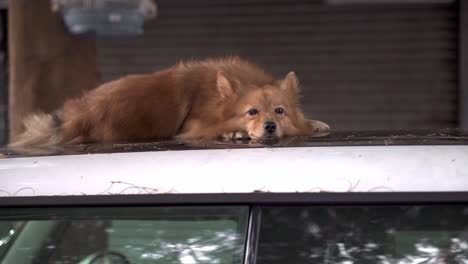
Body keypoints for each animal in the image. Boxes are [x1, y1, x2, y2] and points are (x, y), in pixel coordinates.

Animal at [8, 56, 330, 147]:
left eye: (279, 111)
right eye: (252, 112)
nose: (270, 126)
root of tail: (81, 113)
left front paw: (315, 123)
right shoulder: (192, 125)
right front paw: (233, 132)